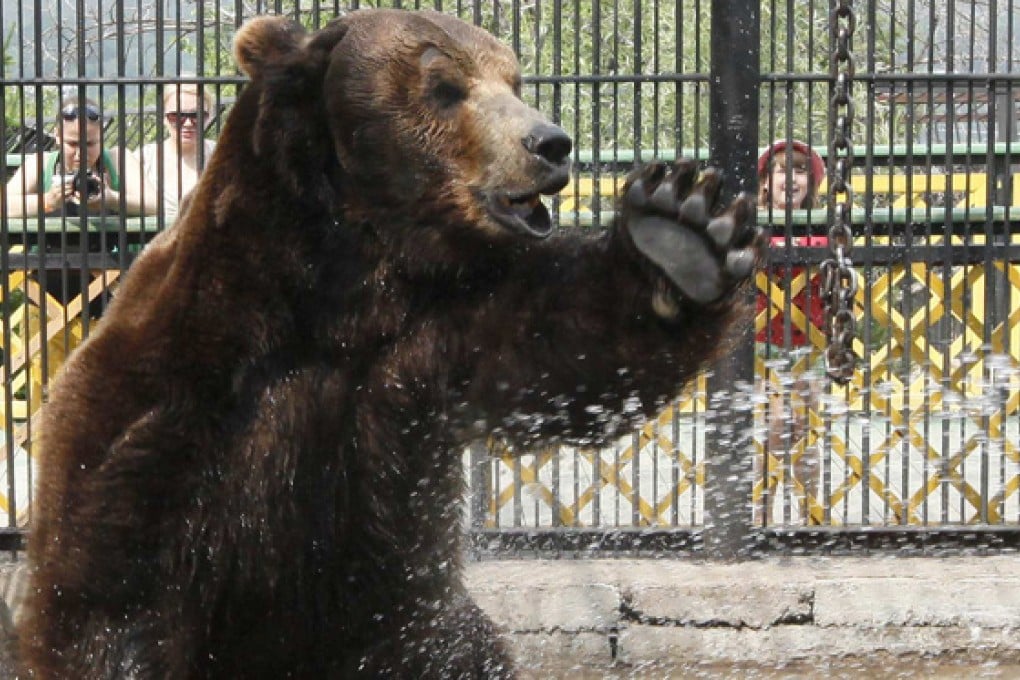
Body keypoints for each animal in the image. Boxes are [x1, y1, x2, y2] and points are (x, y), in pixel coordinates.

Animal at [19, 8, 761, 679]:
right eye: (445, 86)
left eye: (513, 78)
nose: (550, 143)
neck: (337, 288)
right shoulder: (176, 395)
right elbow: (113, 577)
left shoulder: (438, 342)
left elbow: (572, 352)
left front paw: (681, 231)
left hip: (412, 634)